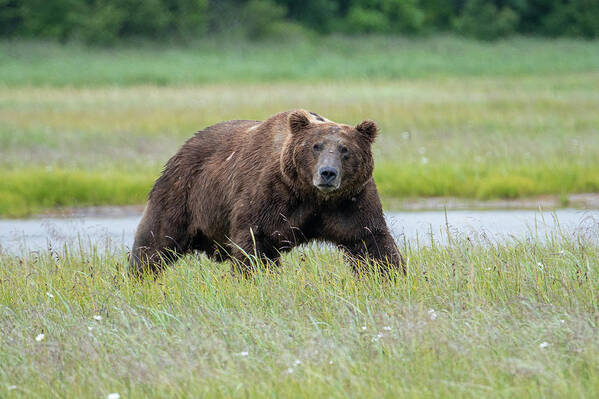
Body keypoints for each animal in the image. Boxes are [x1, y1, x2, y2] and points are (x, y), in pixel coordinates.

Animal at [130, 111, 404, 276]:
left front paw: (390, 276)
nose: (327, 173)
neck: (311, 195)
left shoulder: (350, 202)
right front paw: (254, 278)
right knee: (155, 242)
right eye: (315, 146)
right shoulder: (269, 197)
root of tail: (180, 151)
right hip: (182, 194)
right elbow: (254, 243)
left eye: (345, 150)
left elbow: (371, 242)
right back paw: (138, 275)